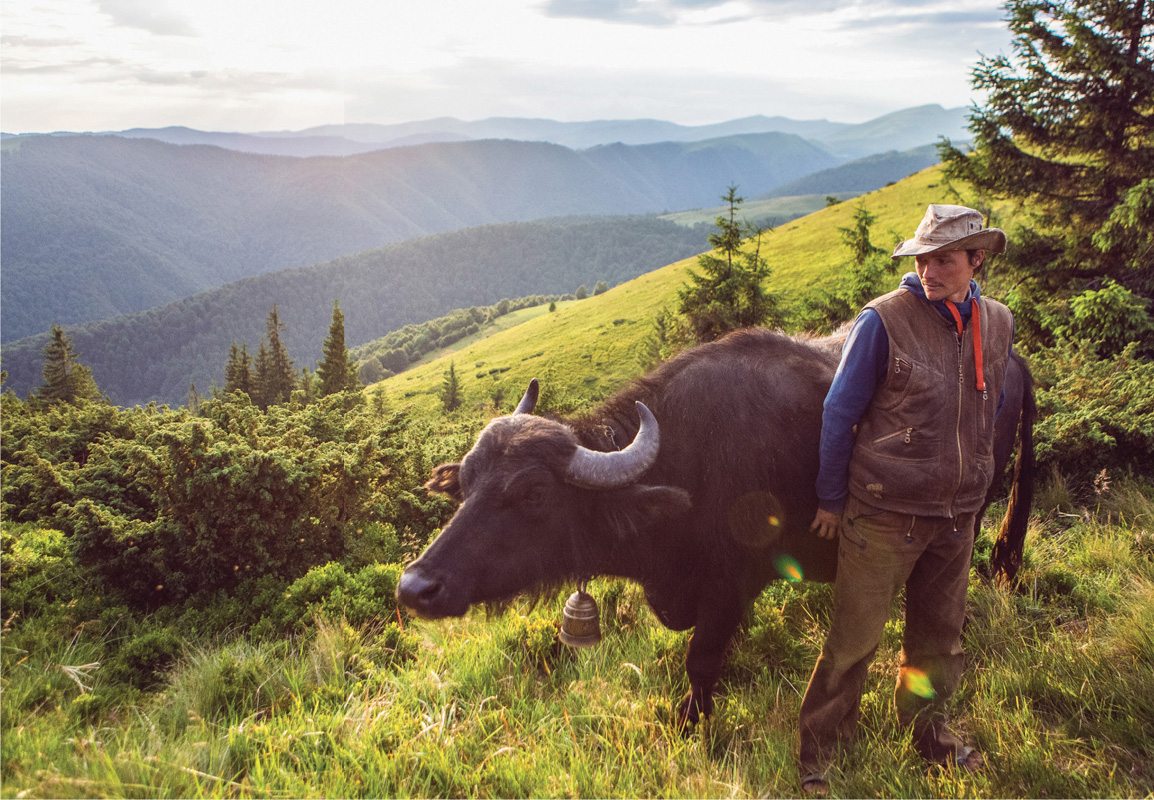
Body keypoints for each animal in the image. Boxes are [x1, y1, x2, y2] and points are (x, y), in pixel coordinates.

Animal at [399, 327, 1038, 724]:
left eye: (532, 494)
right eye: (467, 482)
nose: (414, 587)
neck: (688, 459)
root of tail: (1012, 359)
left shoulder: (732, 587)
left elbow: (701, 659)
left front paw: (693, 720)